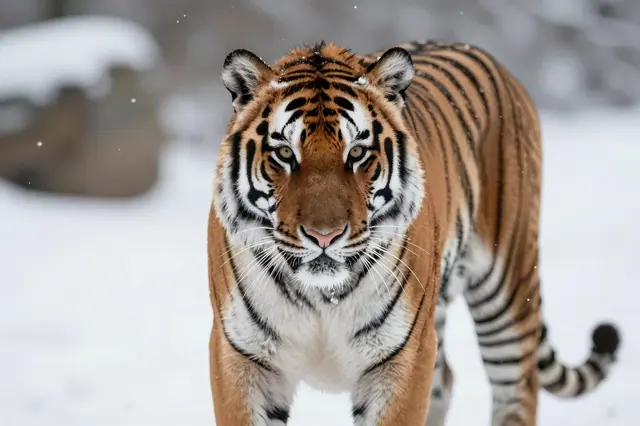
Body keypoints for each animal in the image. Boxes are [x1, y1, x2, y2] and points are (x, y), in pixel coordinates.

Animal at [207, 40, 621, 425]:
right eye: (284, 154)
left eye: (357, 153)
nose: (325, 236)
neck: (322, 296)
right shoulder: (241, 355)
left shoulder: (402, 356)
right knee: (448, 379)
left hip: (507, 289)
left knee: (518, 388)